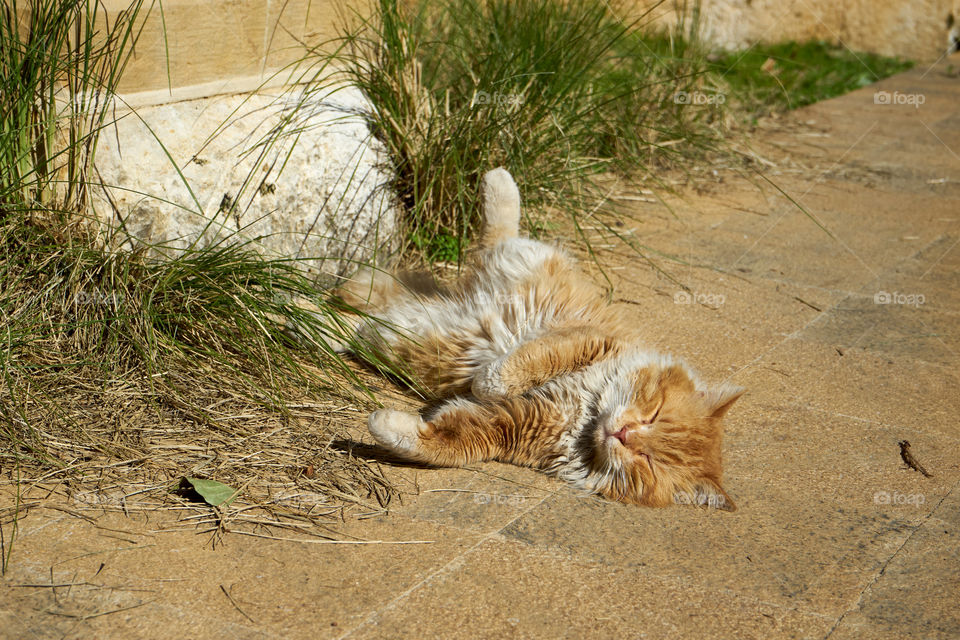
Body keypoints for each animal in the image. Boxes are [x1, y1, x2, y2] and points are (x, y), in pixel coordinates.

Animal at [342, 169, 748, 510]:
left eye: (647, 460)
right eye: (655, 413)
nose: (623, 434)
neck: (585, 416)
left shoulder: (510, 425)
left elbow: (443, 443)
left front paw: (384, 424)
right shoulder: (584, 341)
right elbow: (516, 367)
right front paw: (486, 379)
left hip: (390, 329)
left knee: (360, 321)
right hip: (521, 257)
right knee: (500, 230)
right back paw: (497, 180)